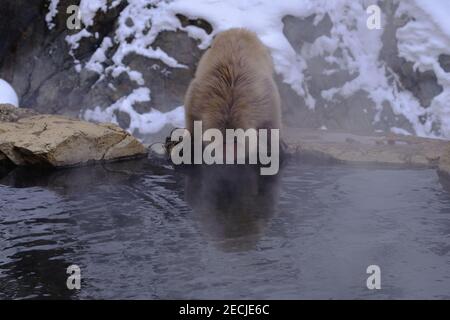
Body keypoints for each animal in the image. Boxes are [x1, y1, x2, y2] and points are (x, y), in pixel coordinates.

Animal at [182, 27, 282, 164]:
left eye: (234, 146)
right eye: (223, 147)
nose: (228, 158)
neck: (229, 105)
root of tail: (238, 30)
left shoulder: (265, 102)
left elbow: (271, 124)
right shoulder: (197, 99)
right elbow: (191, 119)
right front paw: (190, 140)